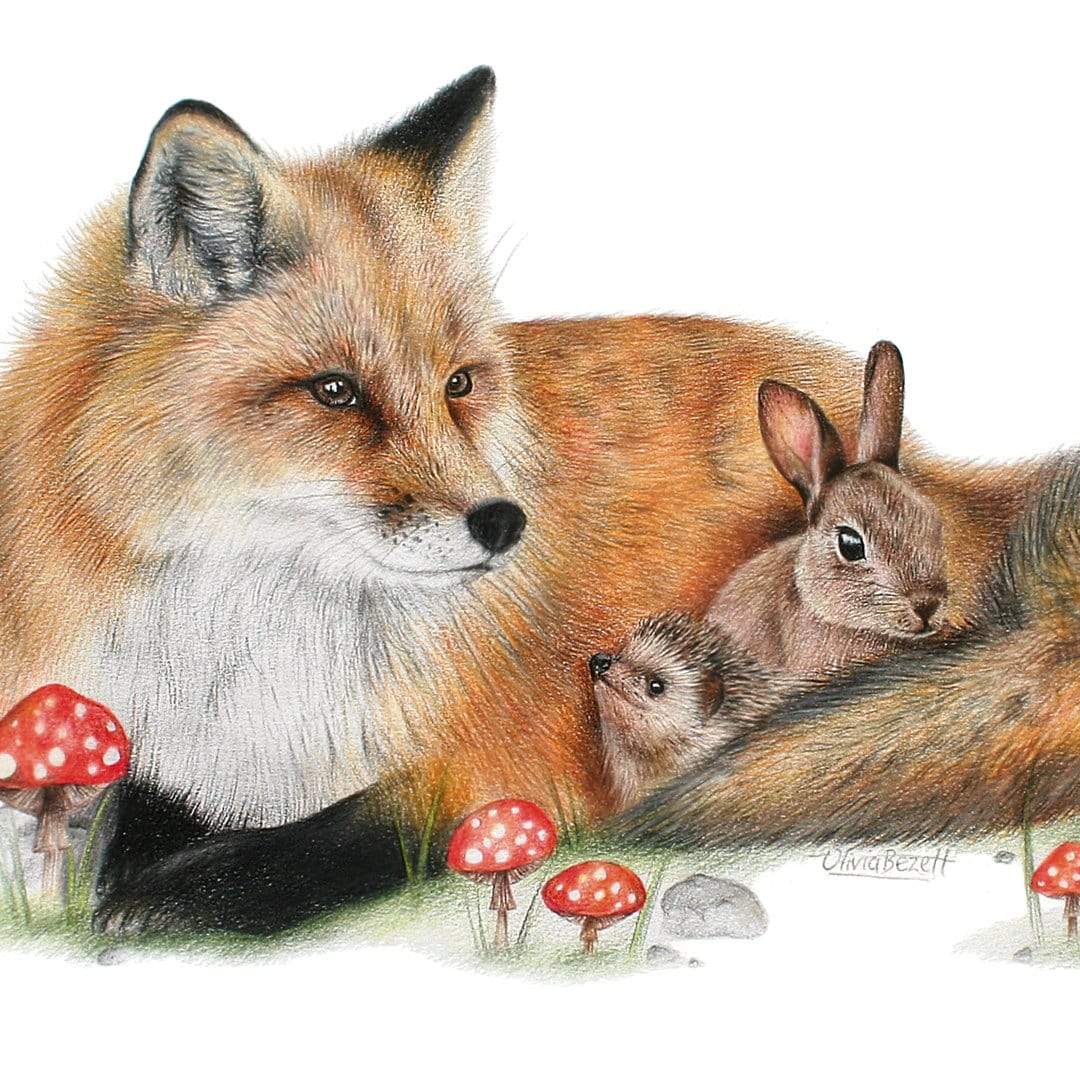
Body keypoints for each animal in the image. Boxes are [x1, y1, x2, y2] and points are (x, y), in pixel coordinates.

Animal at [0, 67, 1069, 935]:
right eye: (336, 391)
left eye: (459, 384)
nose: (504, 521)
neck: (253, 644)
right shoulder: (172, 743)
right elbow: (135, 816)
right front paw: (108, 876)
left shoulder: (502, 766)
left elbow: (340, 843)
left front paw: (178, 896)